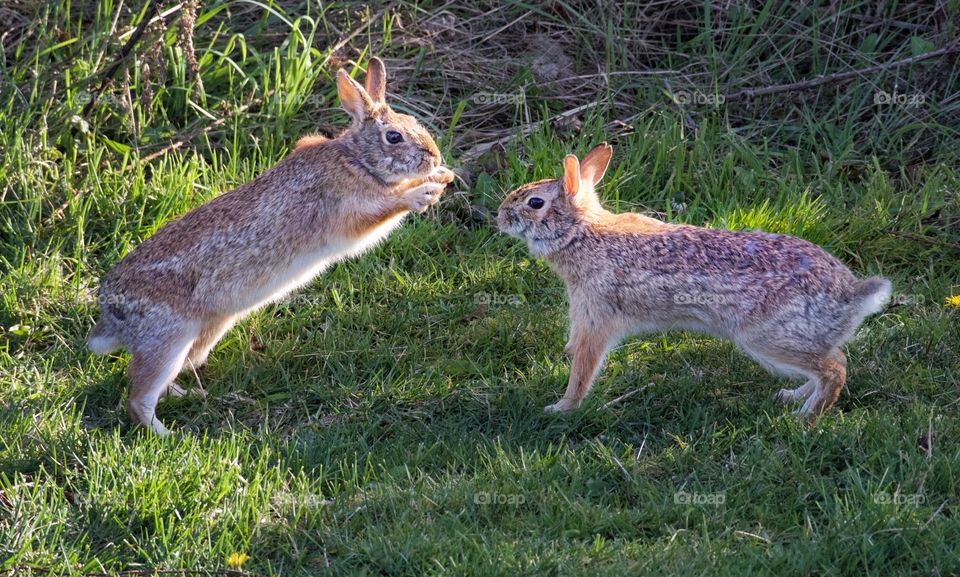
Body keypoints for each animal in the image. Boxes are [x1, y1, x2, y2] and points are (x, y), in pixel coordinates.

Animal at [88, 59, 456, 436]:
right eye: (393, 136)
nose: (433, 156)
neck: (356, 159)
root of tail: (110, 316)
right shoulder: (349, 210)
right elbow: (386, 207)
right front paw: (425, 190)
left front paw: (443, 175)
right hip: (167, 339)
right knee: (139, 398)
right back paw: (169, 435)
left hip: (205, 331)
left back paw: (186, 394)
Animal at [496, 142, 892, 416]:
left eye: (534, 203)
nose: (499, 218)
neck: (581, 232)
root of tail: (853, 295)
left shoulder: (596, 314)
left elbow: (583, 364)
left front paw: (561, 408)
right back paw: (792, 397)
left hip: (767, 337)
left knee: (835, 366)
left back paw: (805, 416)